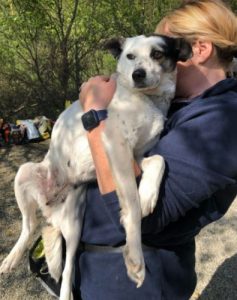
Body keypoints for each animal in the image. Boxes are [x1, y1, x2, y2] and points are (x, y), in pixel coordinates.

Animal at [0, 35, 192, 300]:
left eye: (157, 54)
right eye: (130, 56)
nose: (138, 75)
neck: (147, 100)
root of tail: (50, 207)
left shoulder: (135, 156)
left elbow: (158, 160)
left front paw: (148, 195)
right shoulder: (116, 148)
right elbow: (132, 206)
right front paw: (135, 257)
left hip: (74, 226)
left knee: (67, 269)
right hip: (24, 172)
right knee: (28, 227)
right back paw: (11, 258)